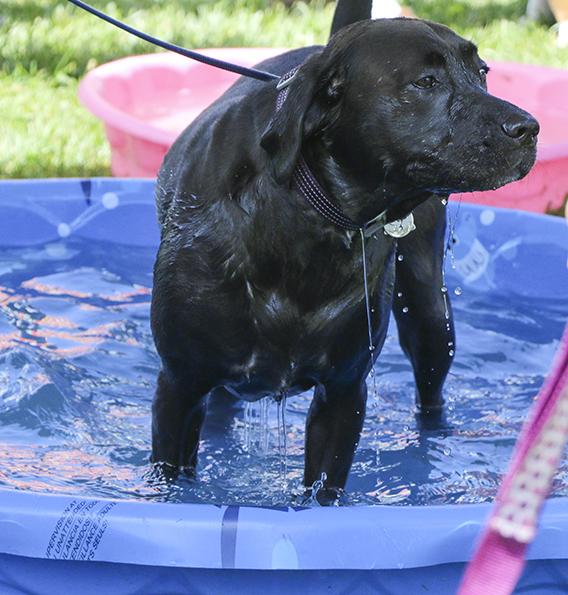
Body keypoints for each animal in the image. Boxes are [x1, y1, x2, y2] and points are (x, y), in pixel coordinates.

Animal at [150, 2, 536, 500]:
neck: (308, 218)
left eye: (482, 71)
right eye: (426, 82)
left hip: (432, 316)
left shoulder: (344, 394)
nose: (529, 128)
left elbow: (324, 490)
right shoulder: (179, 386)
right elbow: (170, 477)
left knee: (430, 395)